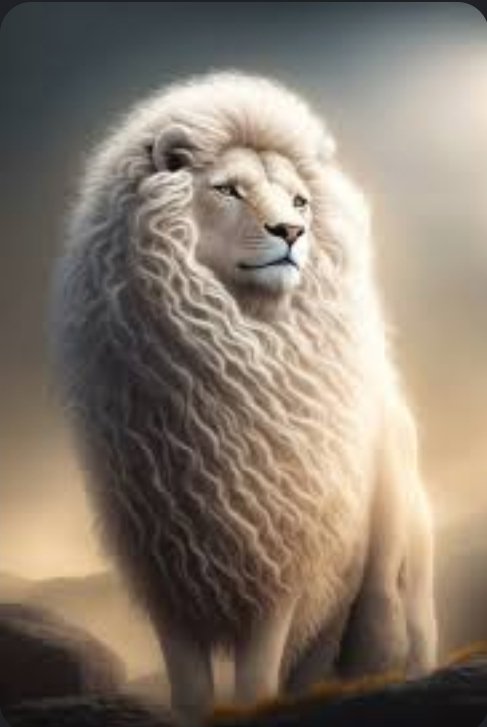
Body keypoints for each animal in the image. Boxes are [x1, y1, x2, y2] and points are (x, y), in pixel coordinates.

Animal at [50, 71, 437, 721]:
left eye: (300, 201)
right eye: (229, 189)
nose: (292, 233)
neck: (238, 352)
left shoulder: (278, 555)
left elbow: (258, 673)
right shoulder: (165, 563)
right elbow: (189, 681)